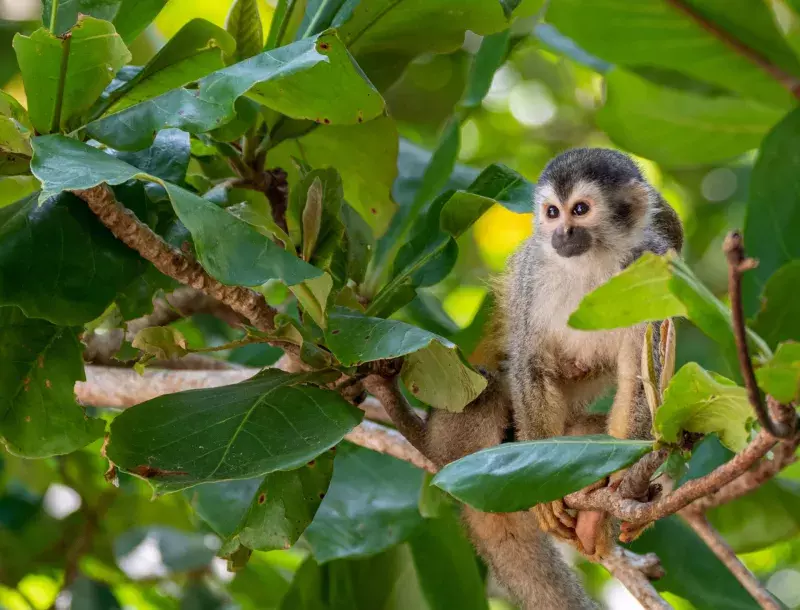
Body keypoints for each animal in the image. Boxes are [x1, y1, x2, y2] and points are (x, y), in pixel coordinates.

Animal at [364, 147, 680, 608]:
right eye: (552, 212)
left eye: (580, 210)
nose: (562, 233)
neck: (592, 266)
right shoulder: (535, 274)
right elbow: (531, 363)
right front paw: (546, 494)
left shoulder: (650, 274)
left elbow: (639, 380)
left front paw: (618, 489)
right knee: (488, 390)